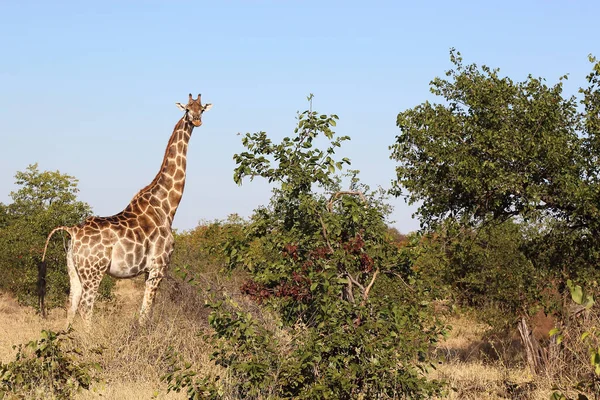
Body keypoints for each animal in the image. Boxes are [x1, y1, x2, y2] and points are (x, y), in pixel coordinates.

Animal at [38, 94, 213, 328]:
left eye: (201, 109)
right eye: (187, 109)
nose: (196, 120)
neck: (166, 207)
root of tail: (72, 231)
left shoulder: (149, 271)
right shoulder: (158, 268)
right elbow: (145, 313)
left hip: (74, 271)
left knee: (71, 305)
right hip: (94, 271)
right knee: (86, 308)